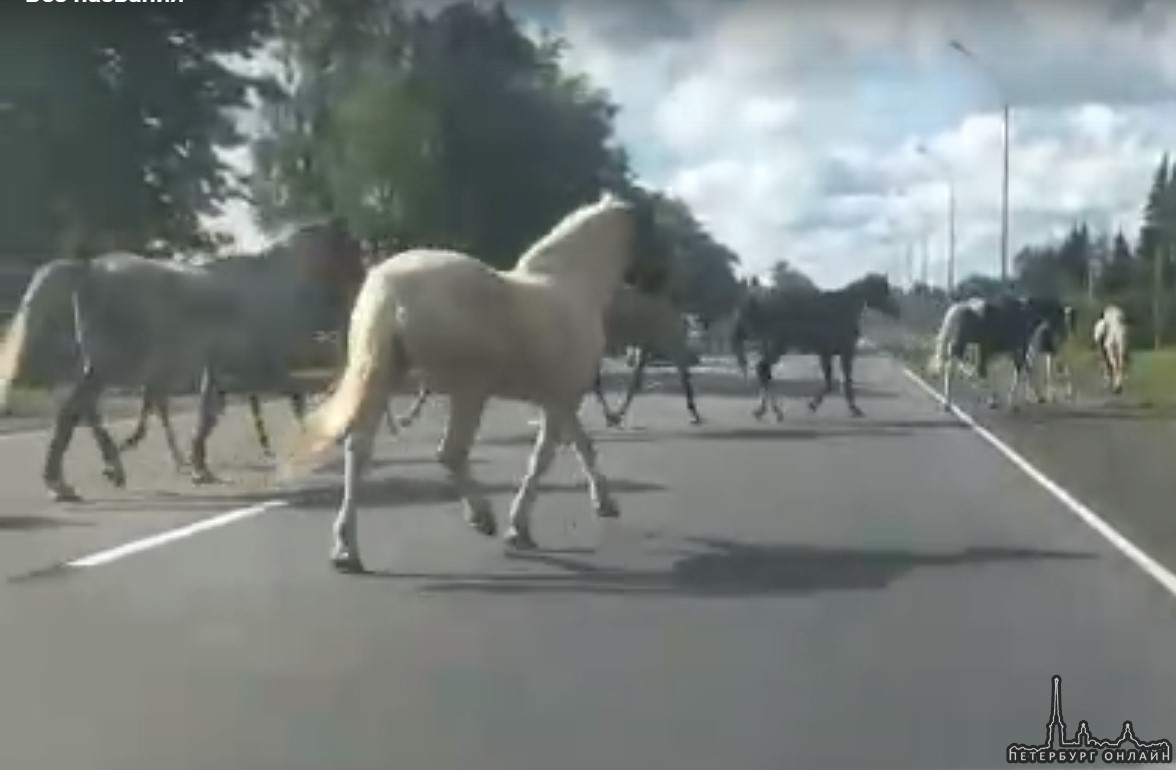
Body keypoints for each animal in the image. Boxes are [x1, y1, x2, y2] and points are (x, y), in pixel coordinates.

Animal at [0, 219, 364, 503]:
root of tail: (89, 270)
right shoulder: (260, 366)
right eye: (353, 252)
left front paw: (200, 469)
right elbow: (296, 398)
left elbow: (208, 416)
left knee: (84, 409)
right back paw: (65, 483)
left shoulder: (218, 371)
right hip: (112, 364)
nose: (362, 287)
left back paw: (109, 468)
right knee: (72, 410)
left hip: (103, 366)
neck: (272, 287)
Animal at [281, 191, 658, 571]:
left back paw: (346, 550)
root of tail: (390, 286)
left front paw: (604, 504)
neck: (571, 286)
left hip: (388, 377)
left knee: (358, 450)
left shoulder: (559, 400)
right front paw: (519, 528)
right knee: (450, 452)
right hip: (469, 392)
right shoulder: (560, 399)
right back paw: (482, 517)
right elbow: (547, 456)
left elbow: (581, 446)